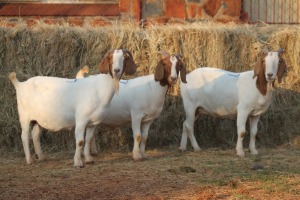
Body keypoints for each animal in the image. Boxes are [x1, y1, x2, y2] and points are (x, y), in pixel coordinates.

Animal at [8, 49, 137, 166]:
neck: (99, 88)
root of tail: (20, 85)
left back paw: (41, 157)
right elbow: (80, 141)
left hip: (38, 119)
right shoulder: (81, 118)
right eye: (110, 58)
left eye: (124, 58)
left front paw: (89, 159)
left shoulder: (93, 123)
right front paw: (78, 162)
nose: (116, 70)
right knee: (25, 136)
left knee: (35, 136)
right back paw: (29, 160)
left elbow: (88, 139)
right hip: (24, 116)